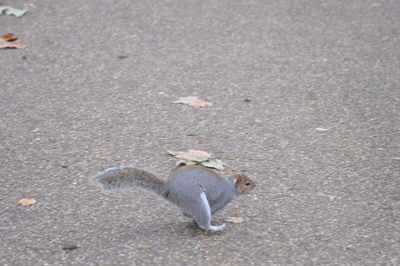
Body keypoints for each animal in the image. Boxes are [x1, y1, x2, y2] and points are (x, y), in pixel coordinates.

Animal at [90, 165, 255, 232]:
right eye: (247, 183)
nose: (255, 185)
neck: (230, 186)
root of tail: (170, 191)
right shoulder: (222, 199)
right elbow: (212, 209)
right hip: (195, 198)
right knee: (201, 220)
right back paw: (215, 227)